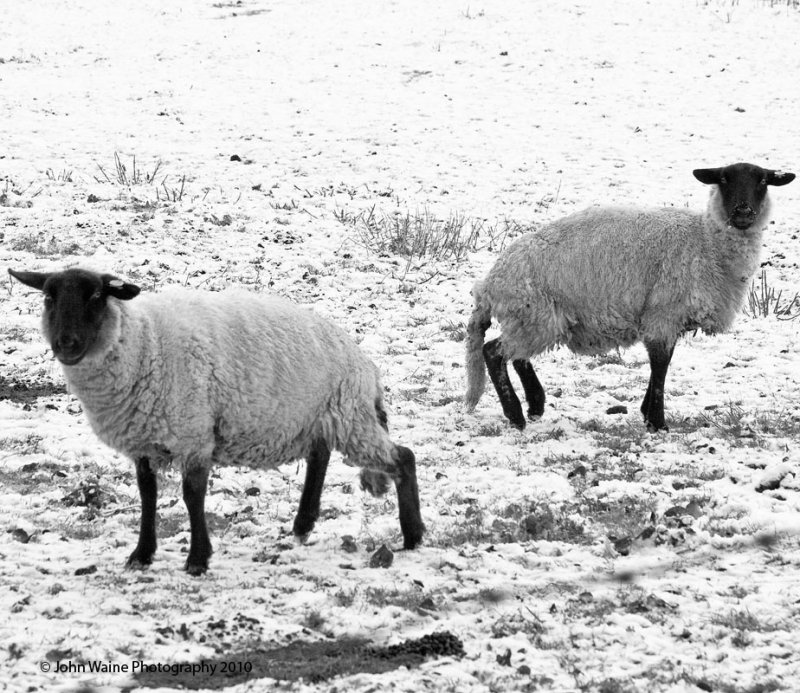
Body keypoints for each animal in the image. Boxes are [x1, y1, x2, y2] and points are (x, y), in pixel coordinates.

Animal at [7, 268, 424, 576]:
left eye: (95, 296)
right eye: (48, 298)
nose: (66, 344)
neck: (144, 343)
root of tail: (364, 362)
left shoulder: (193, 433)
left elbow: (193, 496)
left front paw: (197, 558)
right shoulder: (144, 442)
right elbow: (147, 495)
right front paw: (142, 554)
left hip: (349, 416)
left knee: (403, 457)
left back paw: (413, 536)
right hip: (315, 417)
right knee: (319, 457)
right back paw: (303, 525)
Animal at [462, 164, 792, 432]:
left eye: (763, 181)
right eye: (724, 179)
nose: (743, 212)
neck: (705, 240)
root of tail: (489, 285)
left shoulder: (666, 317)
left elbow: (663, 362)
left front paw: (648, 414)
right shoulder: (663, 312)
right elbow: (660, 363)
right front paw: (657, 422)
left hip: (534, 318)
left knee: (517, 356)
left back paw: (535, 405)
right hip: (533, 315)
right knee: (494, 353)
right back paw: (516, 415)